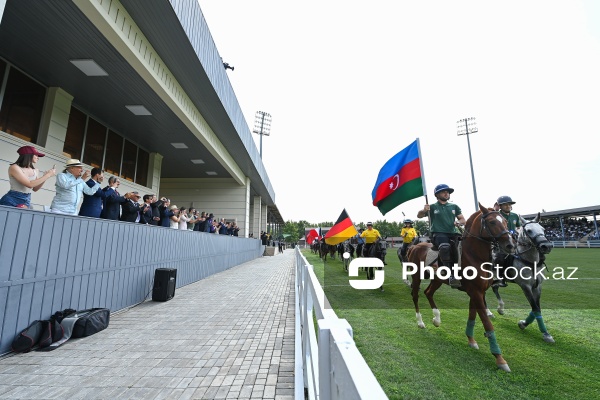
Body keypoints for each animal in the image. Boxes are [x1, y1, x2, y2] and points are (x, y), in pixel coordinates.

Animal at [404, 203, 516, 372]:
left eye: (505, 221)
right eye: (492, 222)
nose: (510, 245)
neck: (475, 255)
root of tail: (415, 246)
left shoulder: (478, 292)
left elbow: (472, 317)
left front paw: (471, 340)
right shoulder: (476, 292)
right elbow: (487, 323)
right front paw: (500, 359)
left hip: (437, 279)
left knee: (428, 292)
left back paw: (437, 319)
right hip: (417, 276)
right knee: (415, 295)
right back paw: (420, 322)